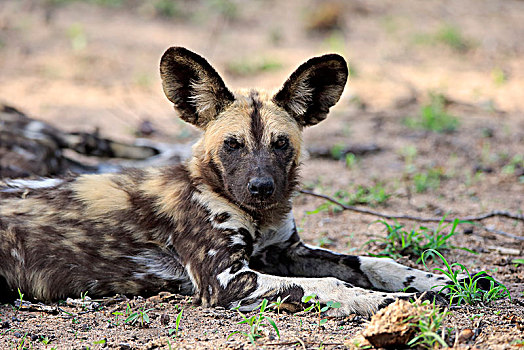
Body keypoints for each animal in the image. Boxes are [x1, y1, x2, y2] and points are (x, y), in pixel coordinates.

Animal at [0, 45, 484, 314]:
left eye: (280, 144)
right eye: (232, 145)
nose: (261, 188)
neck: (257, 214)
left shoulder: (286, 252)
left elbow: (371, 263)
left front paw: (432, 281)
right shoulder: (227, 279)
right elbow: (330, 284)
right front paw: (378, 301)